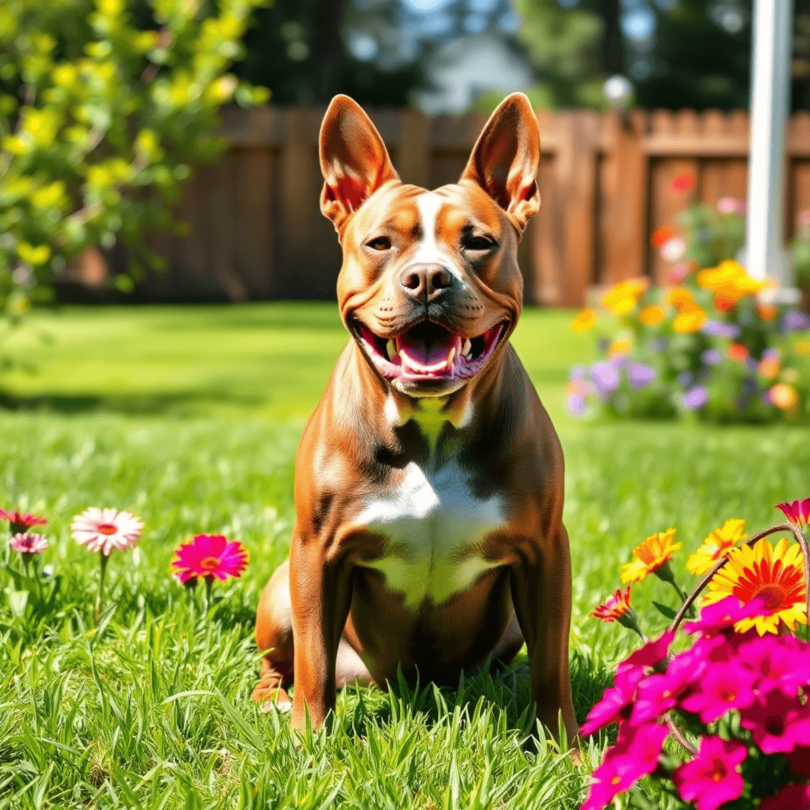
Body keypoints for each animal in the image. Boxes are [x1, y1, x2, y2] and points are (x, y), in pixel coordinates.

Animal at [252, 90, 576, 740]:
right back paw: (270, 699)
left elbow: (553, 667)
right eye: (381, 243)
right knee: (285, 661)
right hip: (280, 594)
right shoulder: (316, 554)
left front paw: (567, 748)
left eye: (478, 242)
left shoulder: (546, 554)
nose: (427, 278)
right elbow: (314, 663)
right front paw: (307, 742)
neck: (430, 430)